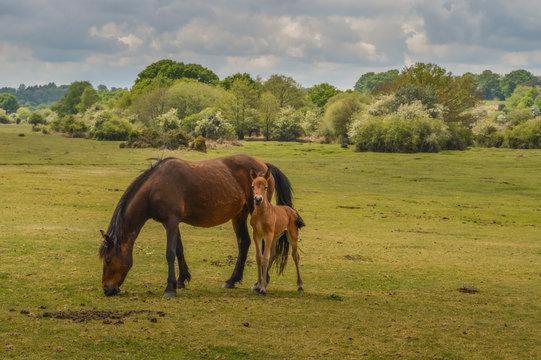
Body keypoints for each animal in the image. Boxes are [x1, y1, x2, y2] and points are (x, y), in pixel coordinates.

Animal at [98, 155, 294, 298]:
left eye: (108, 260)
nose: (107, 289)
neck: (155, 187)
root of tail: (264, 167)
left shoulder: (171, 221)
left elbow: (170, 253)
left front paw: (170, 289)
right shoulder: (171, 223)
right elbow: (179, 250)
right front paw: (181, 280)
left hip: (256, 212)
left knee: (263, 245)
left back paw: (262, 282)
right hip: (239, 214)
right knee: (244, 242)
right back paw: (232, 280)